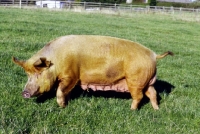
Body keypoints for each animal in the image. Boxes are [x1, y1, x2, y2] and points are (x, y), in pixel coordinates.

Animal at [12, 34, 173, 110]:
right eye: (27, 74)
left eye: (38, 73)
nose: (24, 93)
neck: (56, 61)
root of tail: (153, 55)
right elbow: (66, 92)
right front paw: (67, 103)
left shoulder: (71, 76)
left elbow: (60, 91)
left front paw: (62, 106)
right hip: (146, 81)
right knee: (153, 93)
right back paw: (156, 109)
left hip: (135, 80)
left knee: (139, 96)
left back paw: (131, 110)